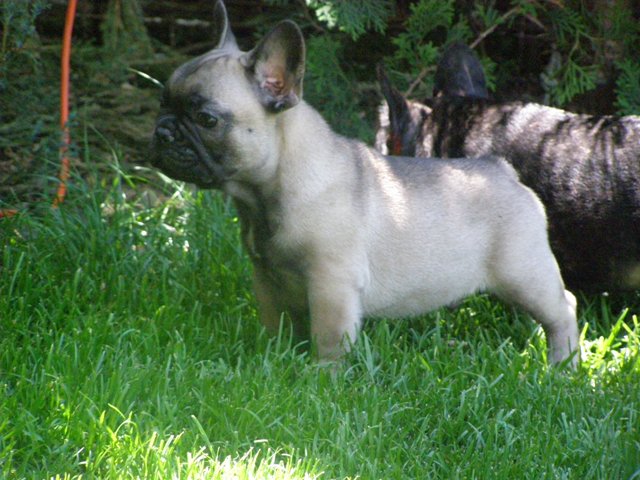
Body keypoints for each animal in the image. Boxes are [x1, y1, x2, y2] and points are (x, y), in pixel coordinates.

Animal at [151, 0, 579, 367]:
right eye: (162, 103)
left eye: (206, 119)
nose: (162, 131)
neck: (268, 192)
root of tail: (502, 169)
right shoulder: (267, 281)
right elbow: (277, 327)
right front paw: (274, 358)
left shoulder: (330, 284)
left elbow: (328, 340)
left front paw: (322, 377)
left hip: (522, 271)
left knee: (563, 309)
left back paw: (562, 367)